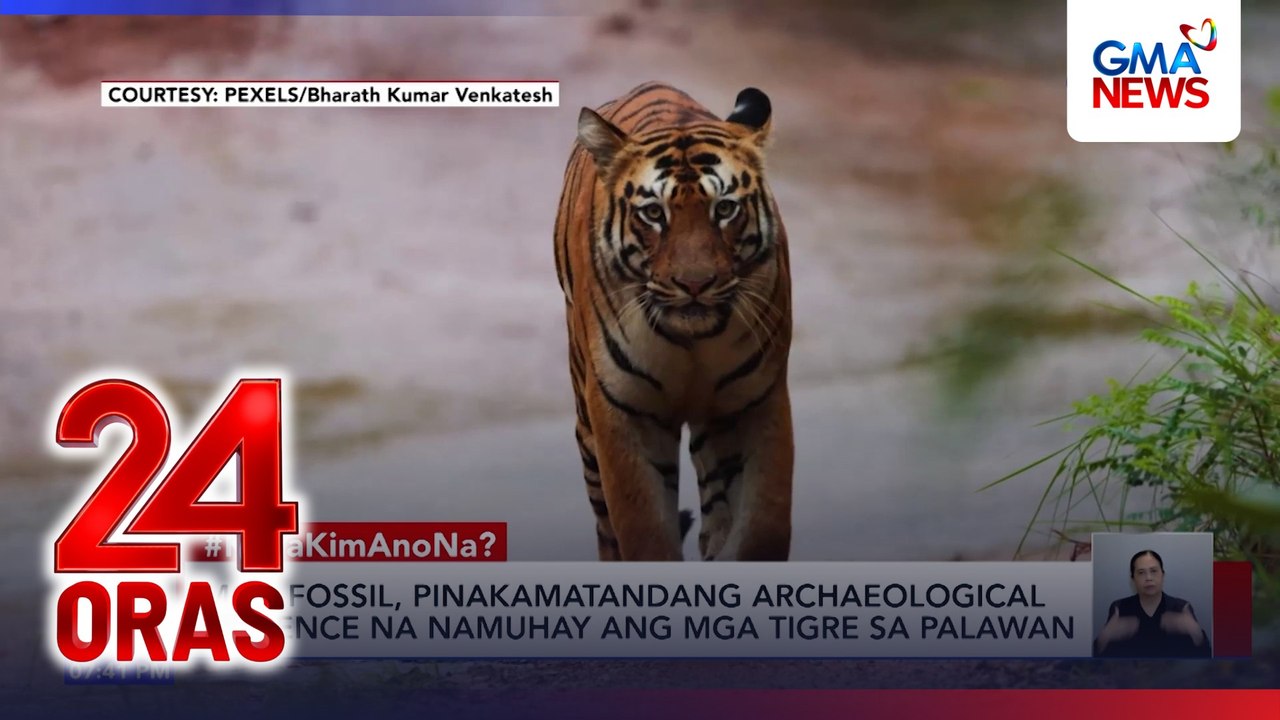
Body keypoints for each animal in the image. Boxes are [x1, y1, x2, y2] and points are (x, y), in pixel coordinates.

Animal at [552, 81, 794, 562]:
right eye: (653, 214)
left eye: (725, 209)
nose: (695, 283)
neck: (694, 343)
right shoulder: (623, 410)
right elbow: (644, 531)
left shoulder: (758, 399)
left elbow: (764, 527)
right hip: (587, 428)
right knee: (607, 530)